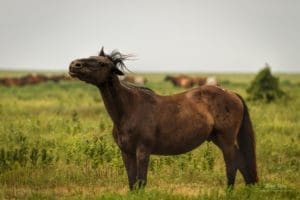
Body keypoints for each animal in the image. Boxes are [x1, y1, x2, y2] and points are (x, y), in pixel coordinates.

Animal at [68, 47, 258, 190]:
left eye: (102, 63)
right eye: (91, 57)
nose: (74, 65)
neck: (128, 109)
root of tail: (231, 93)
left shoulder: (143, 151)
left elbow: (141, 182)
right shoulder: (126, 152)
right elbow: (132, 183)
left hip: (226, 140)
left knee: (232, 166)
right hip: (217, 139)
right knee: (241, 162)